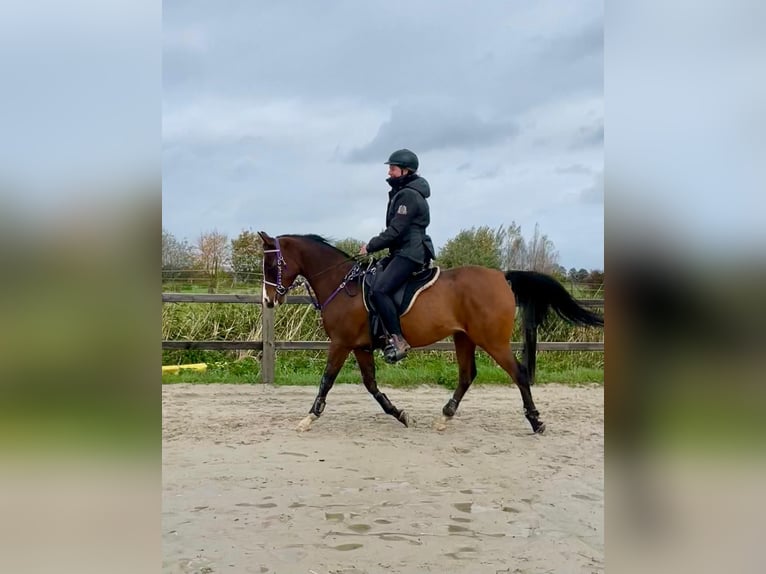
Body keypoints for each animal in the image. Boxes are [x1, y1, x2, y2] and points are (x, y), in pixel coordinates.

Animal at [258, 232, 603, 433]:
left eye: (272, 263)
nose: (268, 300)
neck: (343, 285)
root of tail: (502, 277)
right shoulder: (360, 346)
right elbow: (371, 385)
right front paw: (399, 414)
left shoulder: (341, 344)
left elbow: (327, 380)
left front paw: (309, 417)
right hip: (464, 338)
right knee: (467, 374)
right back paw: (445, 416)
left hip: (491, 339)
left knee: (517, 373)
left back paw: (535, 421)